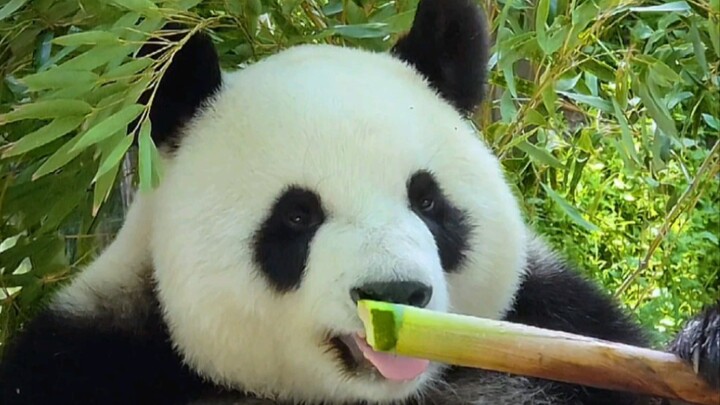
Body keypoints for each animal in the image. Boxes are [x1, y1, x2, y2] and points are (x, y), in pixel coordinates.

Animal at [1, 0, 718, 404]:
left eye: (428, 202)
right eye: (297, 215)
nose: (396, 294)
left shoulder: (559, 333)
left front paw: (707, 338)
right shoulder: (86, 361)